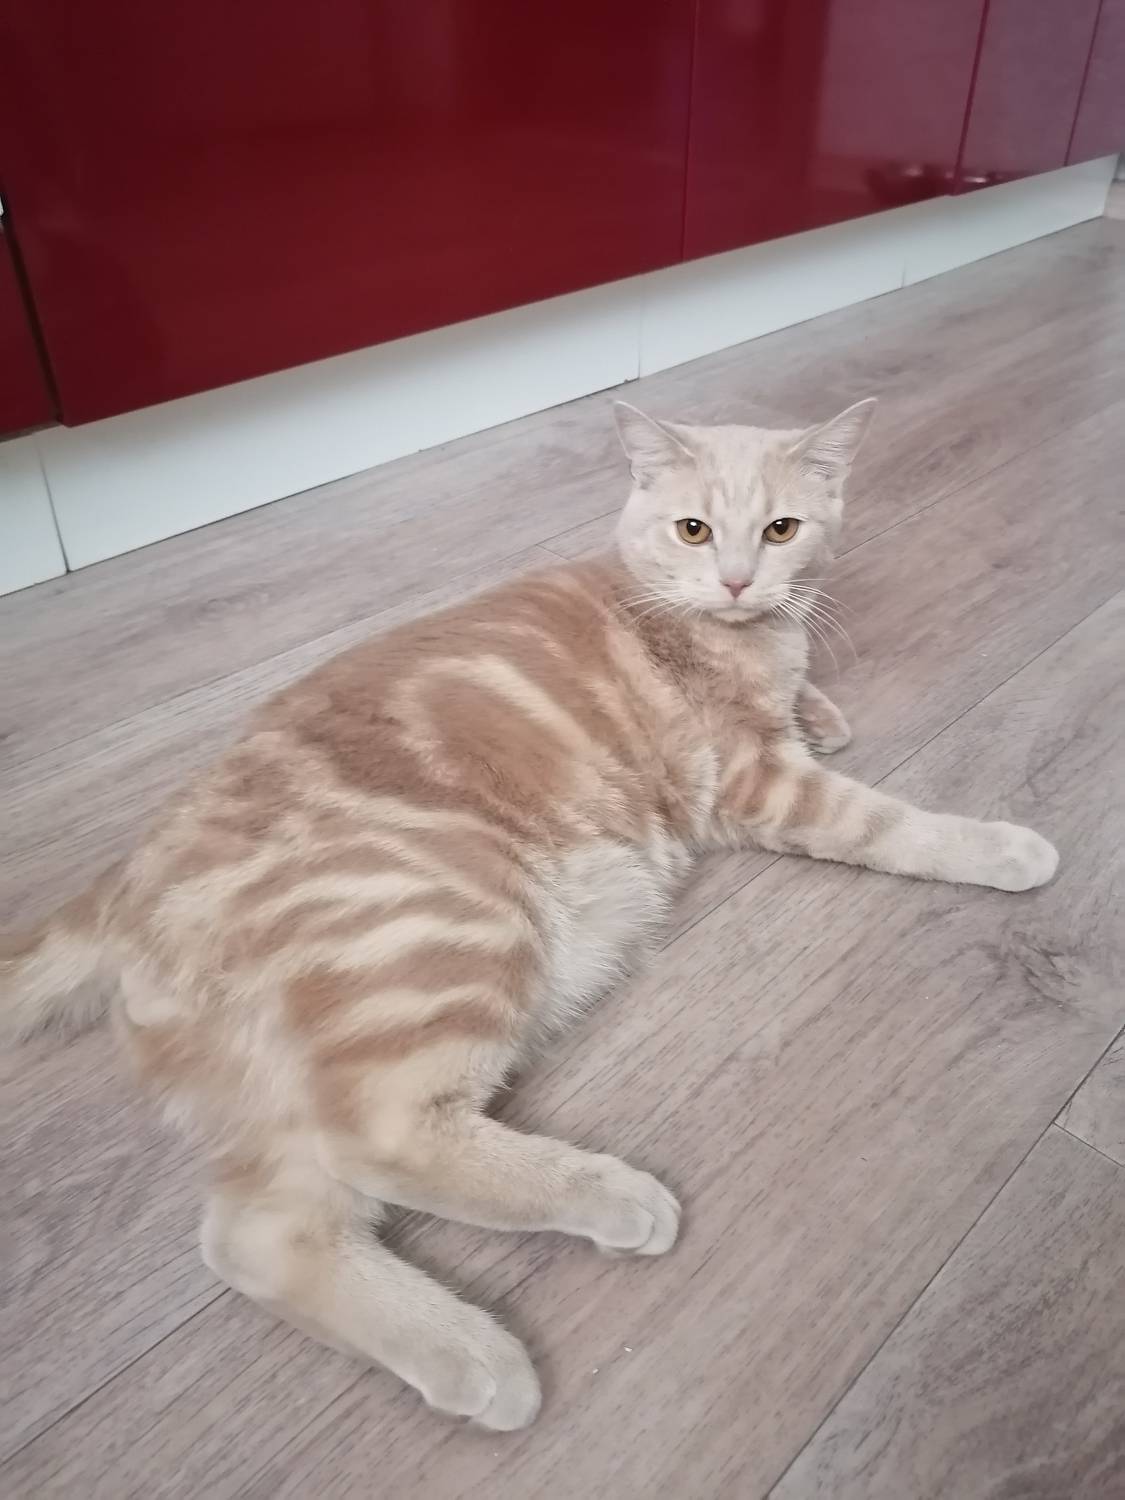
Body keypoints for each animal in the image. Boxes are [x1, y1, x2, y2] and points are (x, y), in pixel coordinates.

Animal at [1, 396, 1057, 1430]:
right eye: (693, 529)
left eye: (781, 529)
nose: (735, 581)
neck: (725, 631)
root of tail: (128, 875)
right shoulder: (758, 785)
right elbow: (888, 823)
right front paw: (1001, 848)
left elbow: (808, 695)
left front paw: (821, 706)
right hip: (440, 933)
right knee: (385, 1138)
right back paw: (605, 1206)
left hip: (288, 1076)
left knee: (254, 1234)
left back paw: (469, 1358)